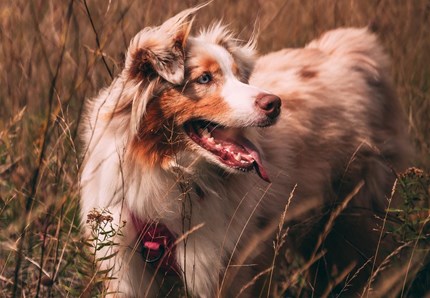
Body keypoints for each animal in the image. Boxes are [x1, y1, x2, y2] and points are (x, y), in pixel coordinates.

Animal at [80, 5, 410, 298]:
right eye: (204, 78)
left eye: (239, 77)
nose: (274, 104)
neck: (169, 172)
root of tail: (348, 50)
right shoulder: (127, 270)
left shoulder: (223, 264)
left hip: (357, 218)